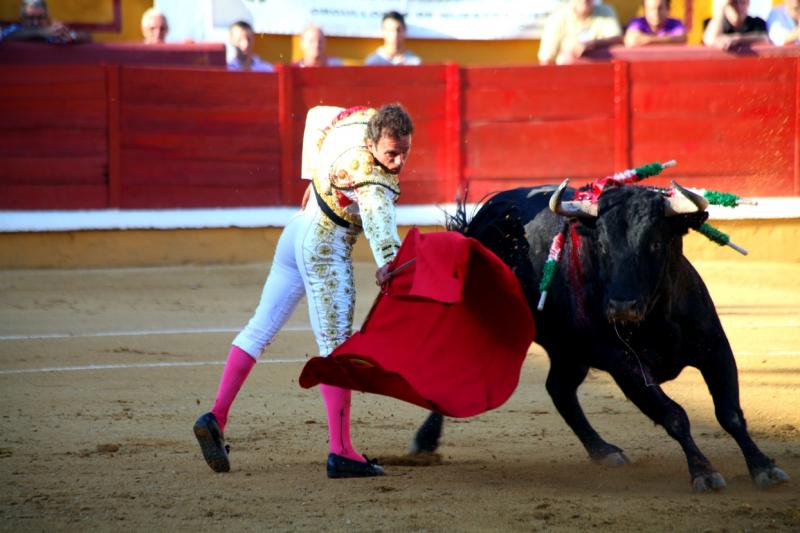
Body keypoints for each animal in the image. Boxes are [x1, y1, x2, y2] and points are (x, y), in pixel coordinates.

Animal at [410, 183, 792, 490]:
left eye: (656, 243)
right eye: (604, 246)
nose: (622, 306)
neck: (655, 317)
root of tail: (484, 216)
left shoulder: (715, 349)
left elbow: (729, 412)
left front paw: (764, 467)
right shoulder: (623, 364)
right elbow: (674, 413)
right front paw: (703, 471)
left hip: (569, 352)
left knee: (559, 389)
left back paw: (603, 450)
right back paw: (424, 442)